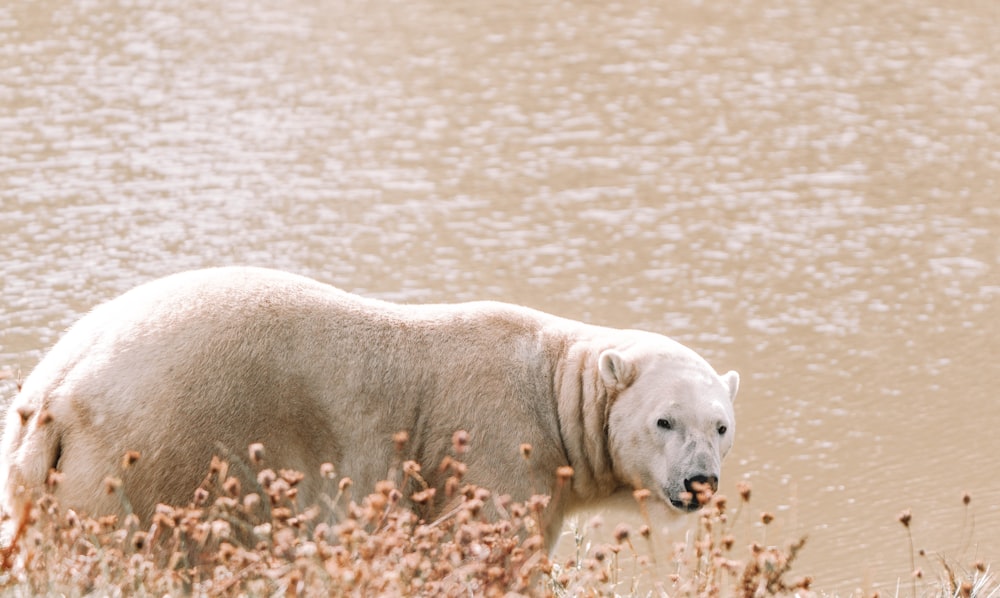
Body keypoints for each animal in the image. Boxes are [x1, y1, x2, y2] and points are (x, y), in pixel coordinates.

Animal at [0, 268, 736, 548]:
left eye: (721, 426)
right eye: (665, 420)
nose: (700, 481)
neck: (554, 384)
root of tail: (57, 390)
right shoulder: (497, 446)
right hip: (156, 450)